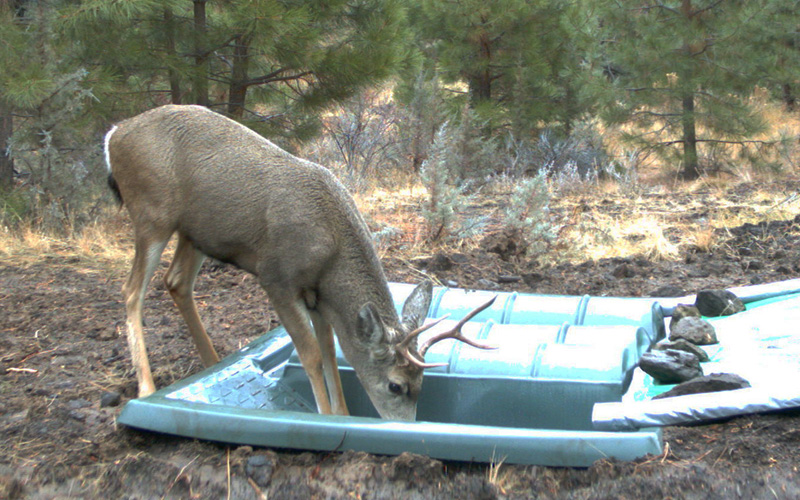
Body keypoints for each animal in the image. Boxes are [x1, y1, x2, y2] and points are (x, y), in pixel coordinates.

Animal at [105, 105, 494, 422]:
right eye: (396, 385)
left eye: (422, 383)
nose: (404, 426)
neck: (330, 247)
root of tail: (114, 135)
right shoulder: (276, 276)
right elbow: (311, 354)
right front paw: (325, 415)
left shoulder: (318, 295)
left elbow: (331, 352)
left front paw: (342, 415)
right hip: (151, 213)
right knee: (131, 290)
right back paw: (146, 386)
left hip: (196, 232)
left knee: (176, 282)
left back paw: (211, 362)